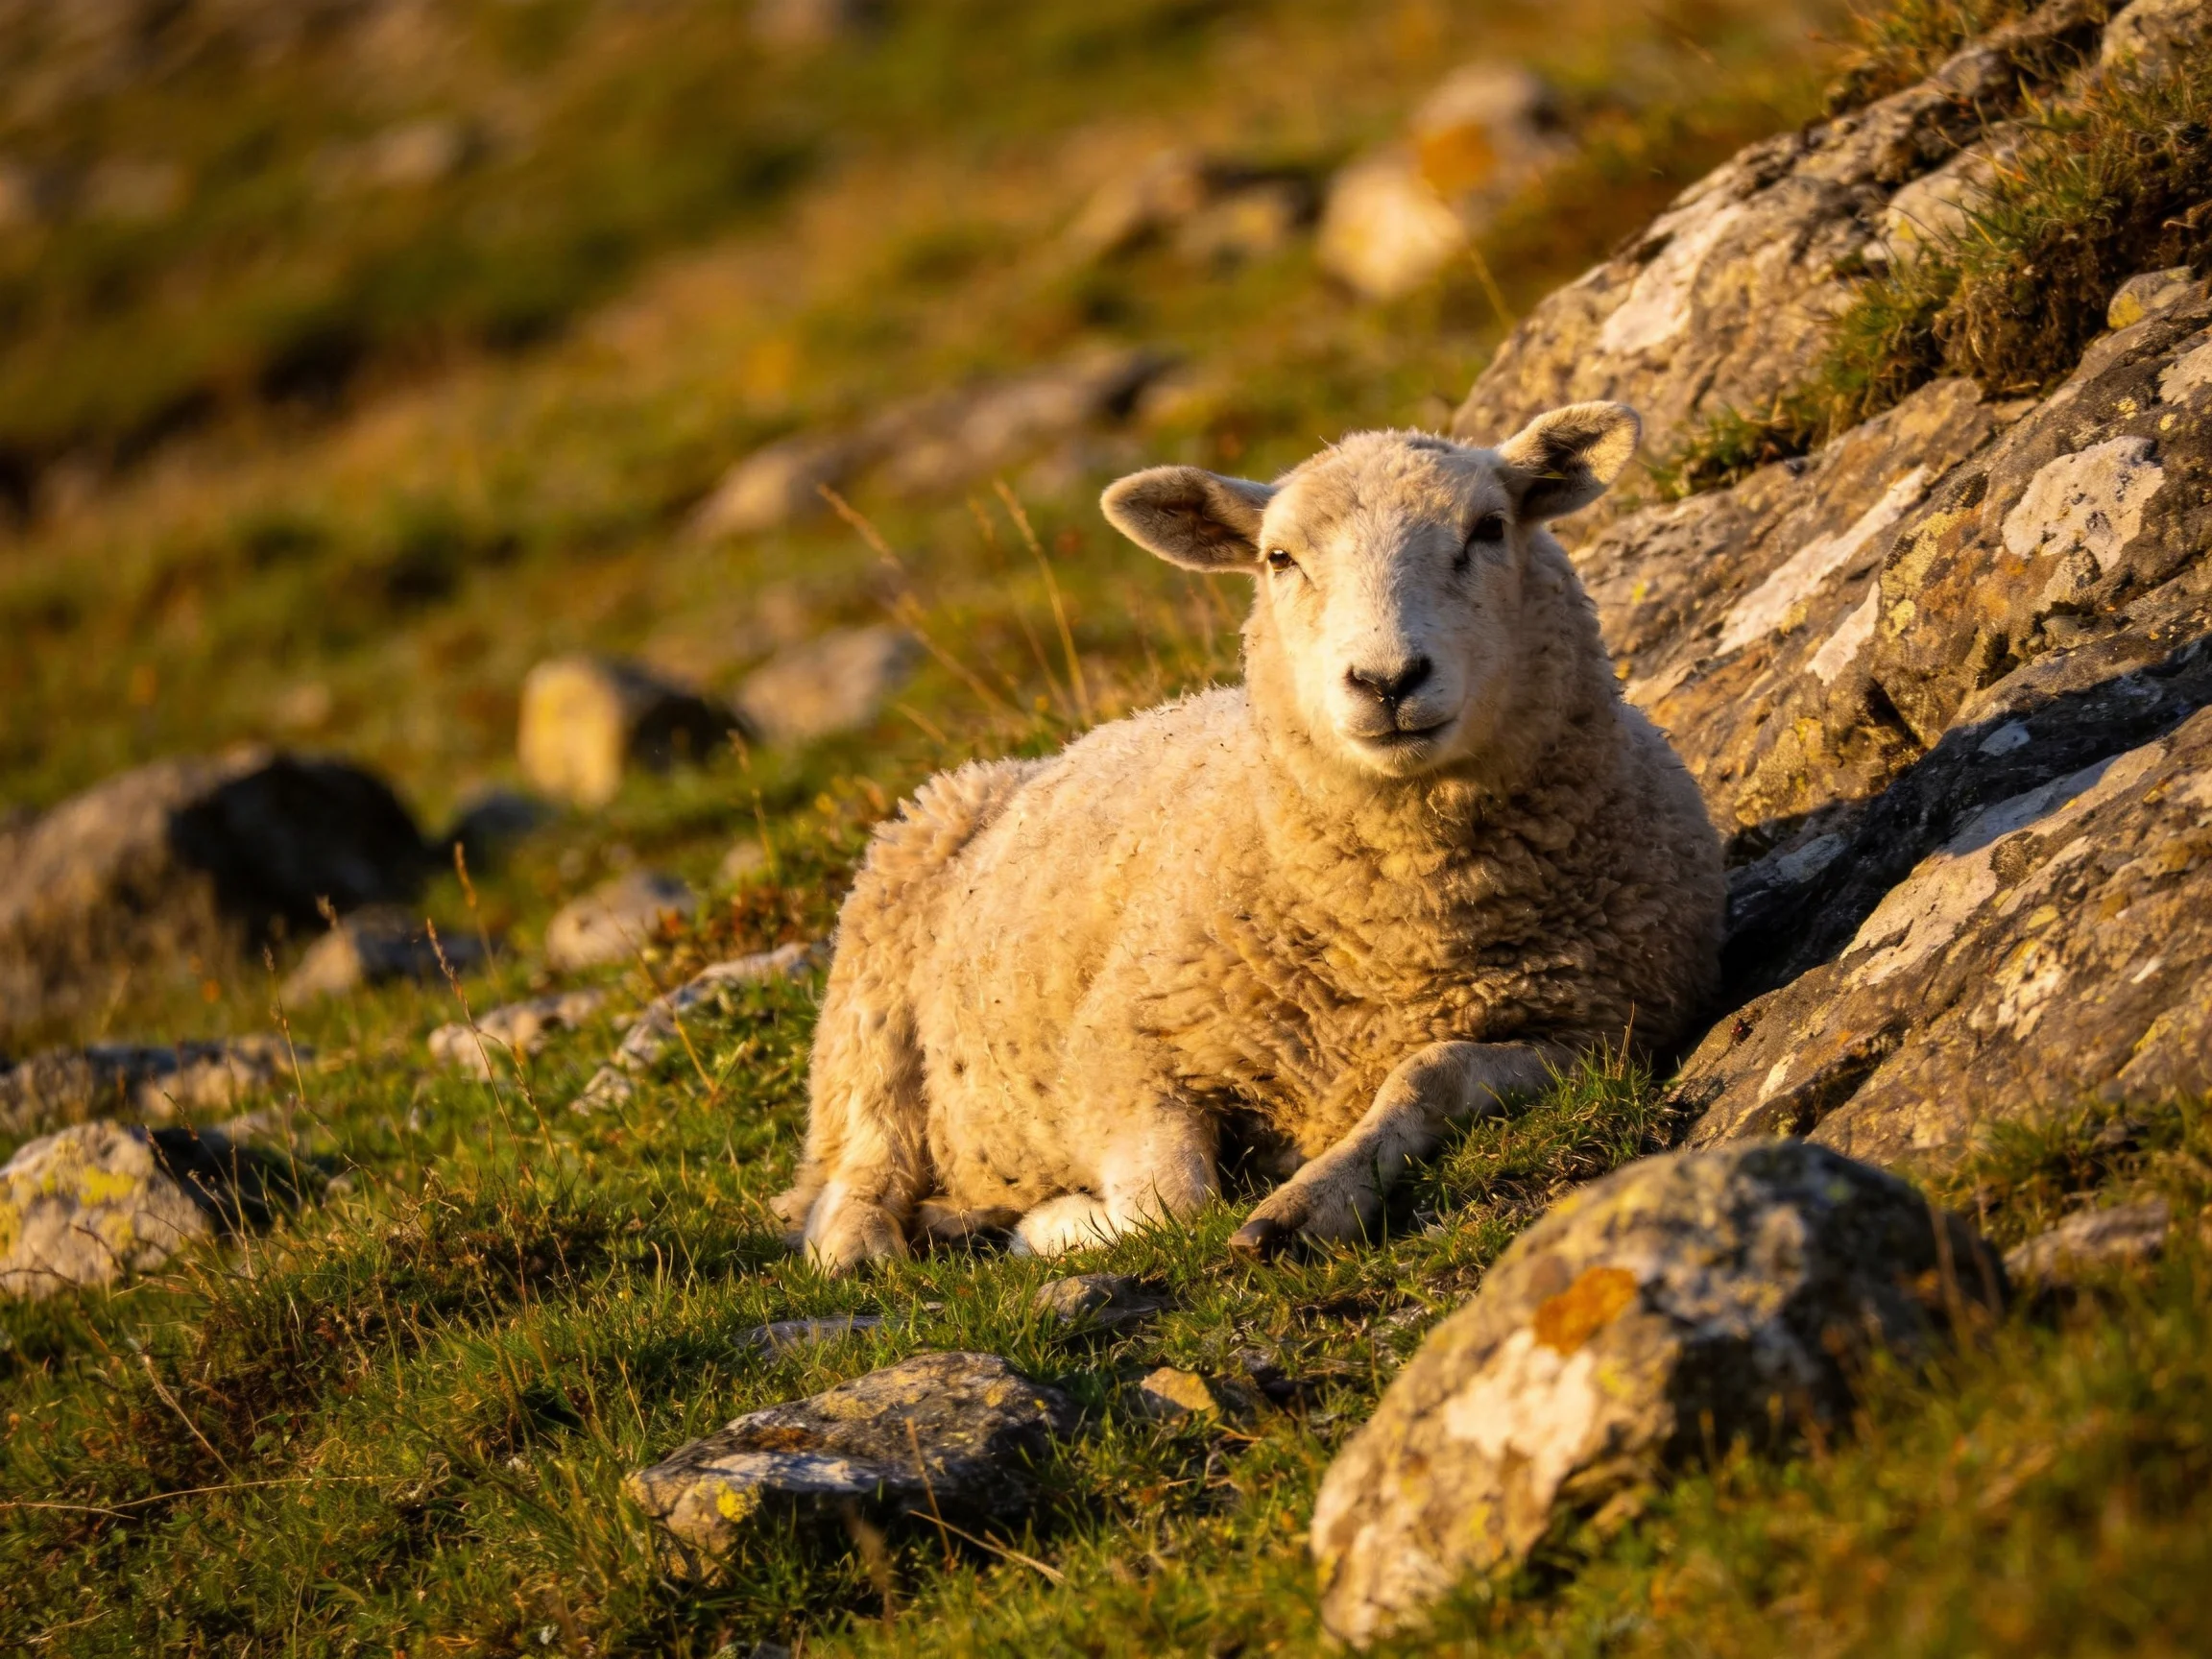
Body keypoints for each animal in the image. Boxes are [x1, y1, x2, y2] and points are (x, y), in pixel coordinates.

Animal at [773, 403, 1724, 1270]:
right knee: (860, 1167)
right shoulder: (1121, 1052)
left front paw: (1306, 1206)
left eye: (1489, 528)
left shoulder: (1595, 1037)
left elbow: (1429, 1074)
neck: (1401, 948)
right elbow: (1172, 1206)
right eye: (1279, 558)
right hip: (871, 1000)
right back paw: (878, 1242)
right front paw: (1058, 1225)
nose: (1387, 681)